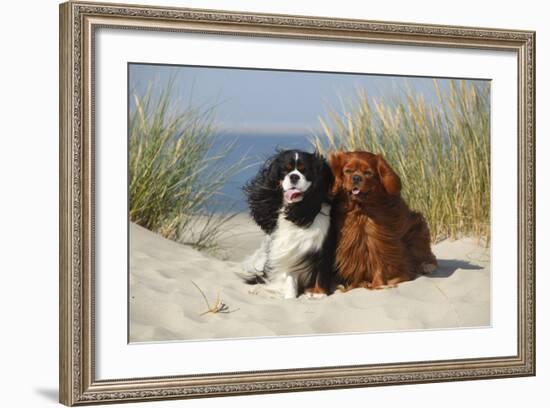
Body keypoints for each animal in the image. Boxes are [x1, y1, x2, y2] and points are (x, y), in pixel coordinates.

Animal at [240, 150, 336, 300]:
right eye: (285, 170)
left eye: (305, 171)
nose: (294, 176)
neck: (296, 209)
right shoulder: (290, 250)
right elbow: (290, 276)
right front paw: (290, 297)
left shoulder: (324, 247)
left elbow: (321, 270)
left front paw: (318, 293)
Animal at [330, 151, 438, 290]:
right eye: (348, 171)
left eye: (368, 173)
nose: (356, 178)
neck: (361, 211)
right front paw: (354, 285)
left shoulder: (380, 243)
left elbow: (380, 266)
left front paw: (379, 285)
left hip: (418, 228)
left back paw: (426, 266)